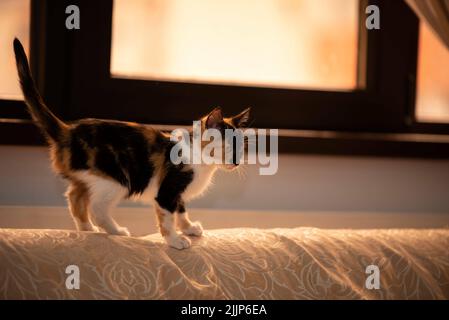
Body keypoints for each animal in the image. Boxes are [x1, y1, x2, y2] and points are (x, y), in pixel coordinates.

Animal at [12, 38, 250, 249]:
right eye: (229, 146)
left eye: (241, 148)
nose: (237, 162)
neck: (200, 160)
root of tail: (68, 130)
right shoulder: (167, 190)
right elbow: (167, 218)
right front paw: (175, 240)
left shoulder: (177, 193)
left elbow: (181, 210)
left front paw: (189, 228)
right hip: (116, 179)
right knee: (96, 207)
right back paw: (115, 231)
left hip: (90, 178)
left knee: (75, 197)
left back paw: (87, 229)